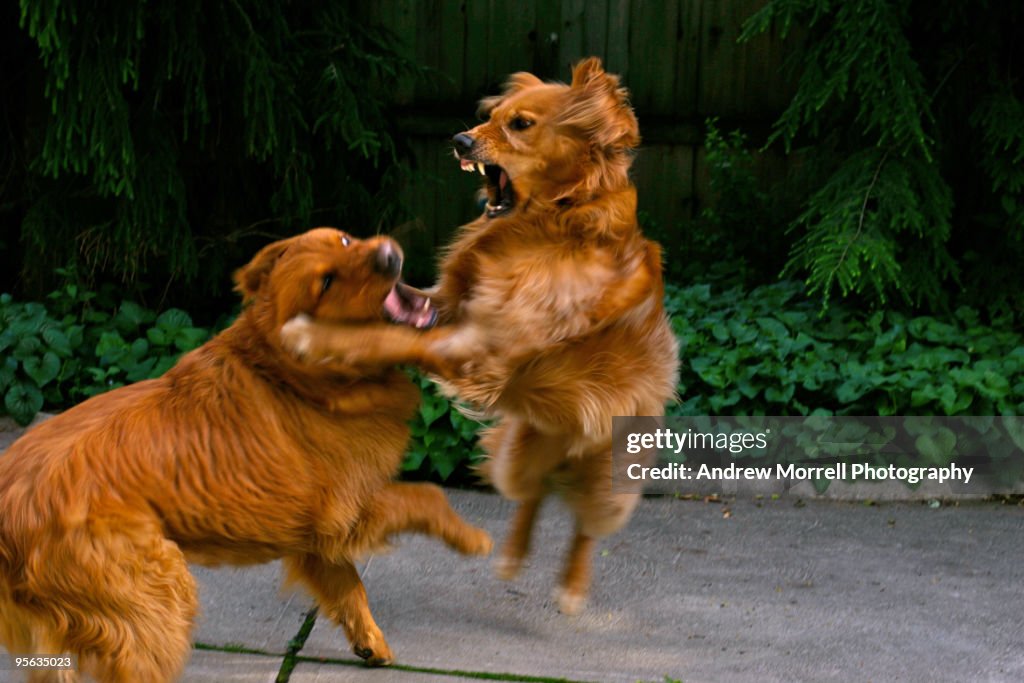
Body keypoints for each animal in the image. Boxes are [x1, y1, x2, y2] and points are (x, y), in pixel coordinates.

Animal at [0, 227, 491, 679]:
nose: (388, 255)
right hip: (156, 597)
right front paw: (471, 539)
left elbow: (350, 588)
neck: (296, 372)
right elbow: (428, 494)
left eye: (345, 240)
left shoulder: (317, 541)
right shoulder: (347, 512)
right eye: (326, 282)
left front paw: (371, 642)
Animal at [280, 58, 679, 614]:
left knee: (584, 525)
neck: (555, 221)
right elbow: (397, 311)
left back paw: (572, 587)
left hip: (611, 477)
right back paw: (512, 556)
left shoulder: (484, 347)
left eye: (521, 124)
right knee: (532, 494)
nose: (460, 140)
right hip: (519, 452)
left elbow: (393, 341)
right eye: (491, 117)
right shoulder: (448, 305)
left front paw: (314, 337)